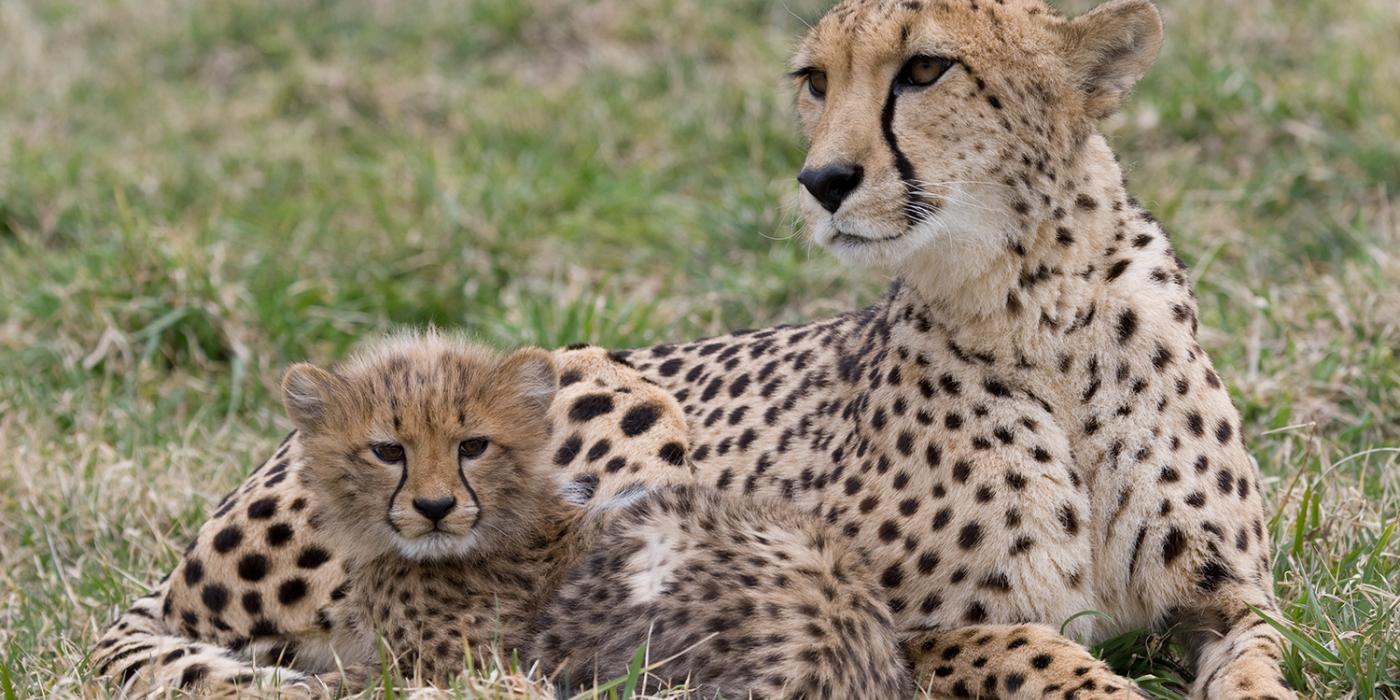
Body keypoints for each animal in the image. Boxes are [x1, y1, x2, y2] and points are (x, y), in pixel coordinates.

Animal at [93, 1, 1288, 700]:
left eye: (924, 70)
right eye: (815, 80)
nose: (822, 180)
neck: (1040, 308)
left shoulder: (1231, 597)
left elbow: (1259, 669)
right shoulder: (907, 622)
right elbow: (1050, 658)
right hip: (615, 399)